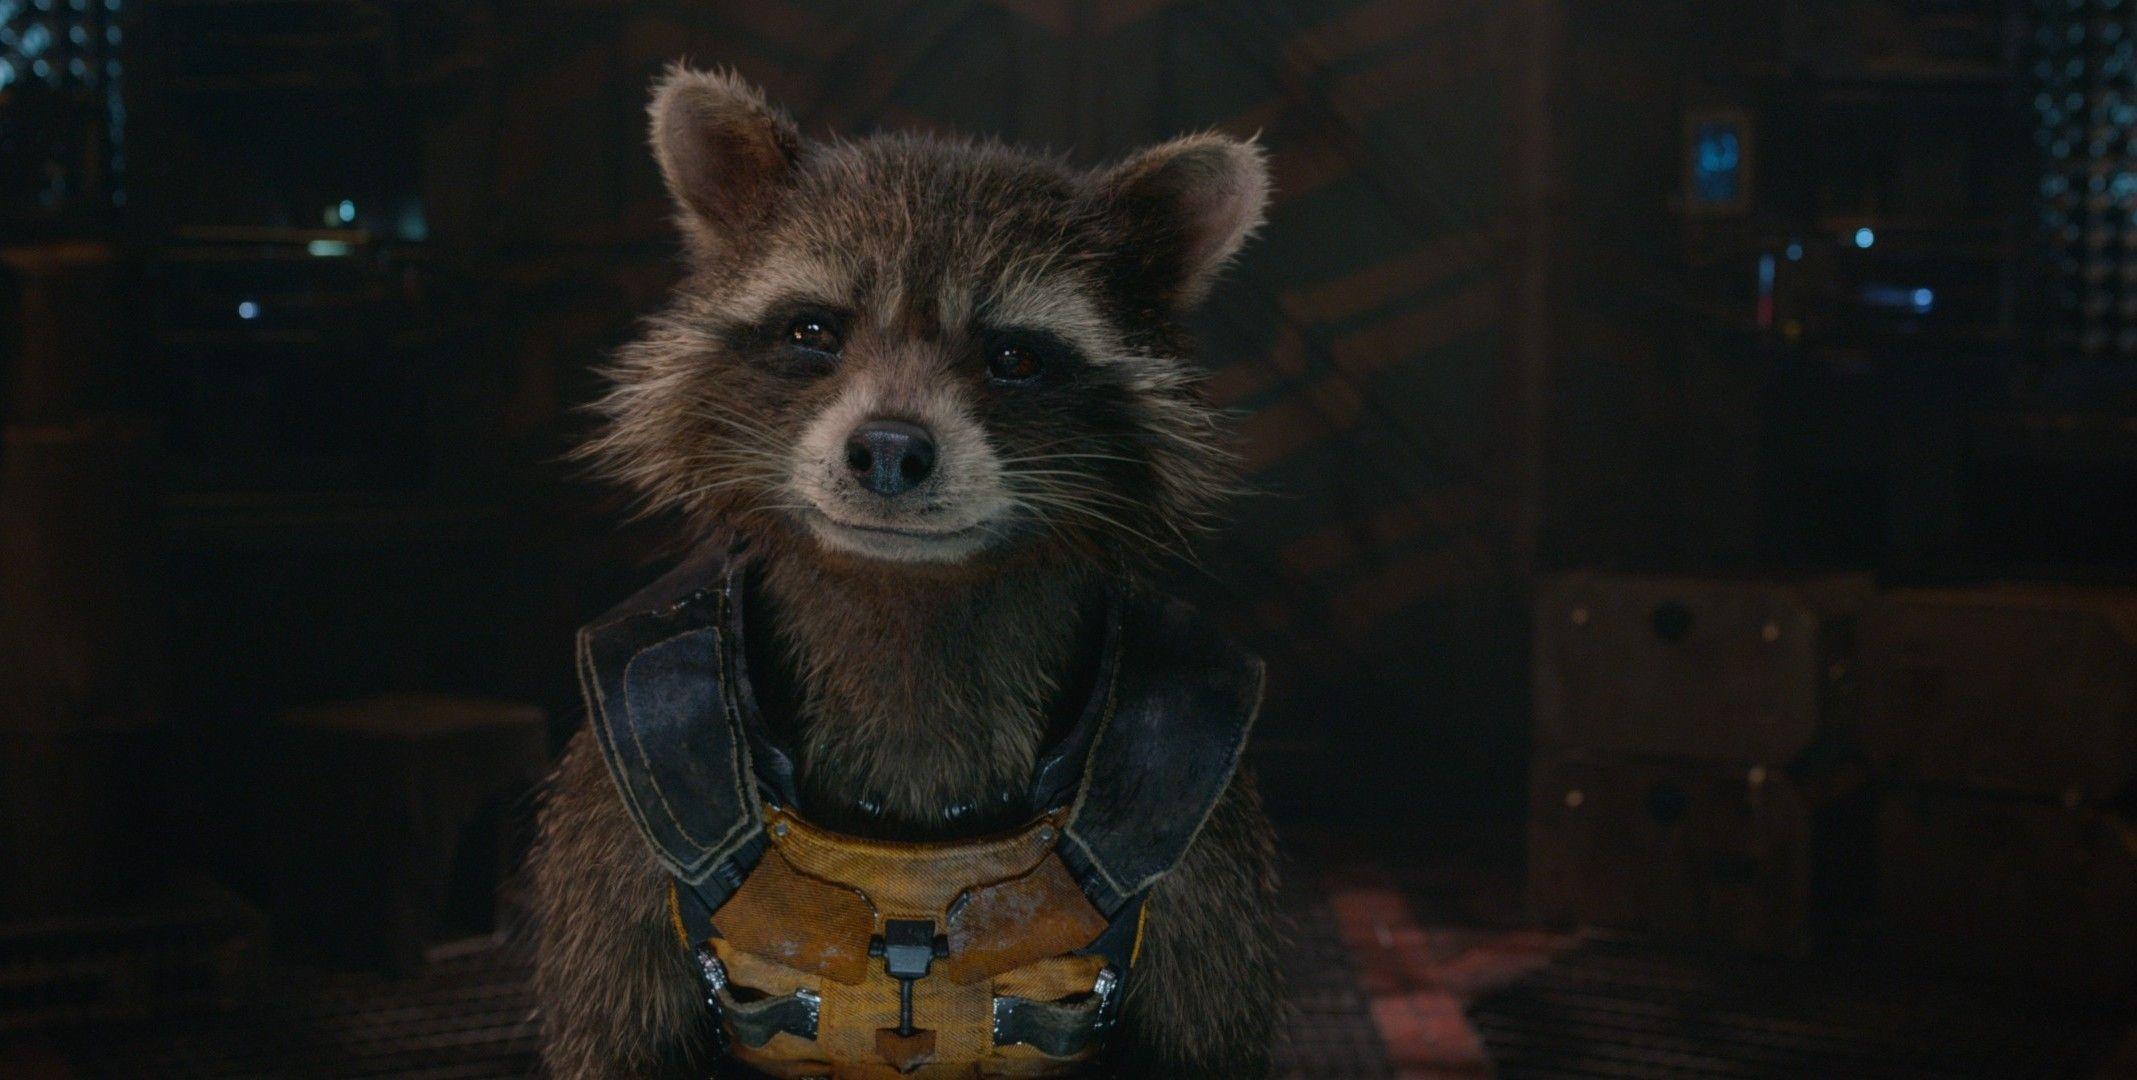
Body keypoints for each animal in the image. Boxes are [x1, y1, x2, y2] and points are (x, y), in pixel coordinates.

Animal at [530, 68, 1283, 1078]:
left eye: (1014, 356)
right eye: (813, 328)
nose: (888, 448)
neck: (906, 599)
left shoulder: (1202, 828)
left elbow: (1210, 1036)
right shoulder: (618, 805)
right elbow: (608, 1036)